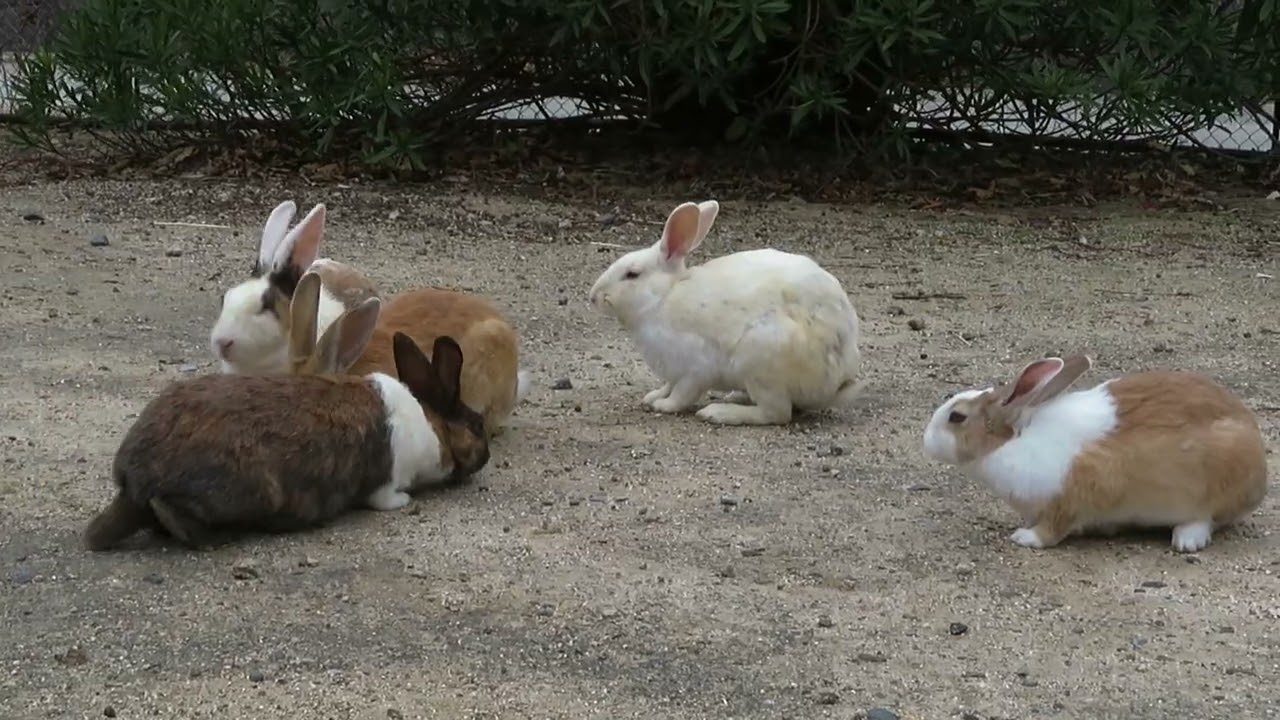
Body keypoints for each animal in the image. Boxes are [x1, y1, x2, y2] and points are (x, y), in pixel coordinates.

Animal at [84, 278, 490, 550]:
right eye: (477, 425)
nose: (486, 456)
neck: (432, 422)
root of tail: (134, 484)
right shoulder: (387, 482)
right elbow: (386, 496)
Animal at [587, 199, 863, 425]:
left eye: (632, 274)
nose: (593, 297)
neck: (662, 298)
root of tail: (837, 381)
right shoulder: (673, 372)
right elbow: (667, 385)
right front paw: (652, 396)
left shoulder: (695, 368)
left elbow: (681, 394)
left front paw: (663, 405)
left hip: (760, 361)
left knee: (777, 413)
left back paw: (718, 412)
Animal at [922, 353, 1269, 552]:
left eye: (956, 417)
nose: (926, 440)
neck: (1015, 441)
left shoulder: (1070, 498)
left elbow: (1053, 530)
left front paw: (1025, 538)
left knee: (1208, 519)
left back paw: (1185, 540)